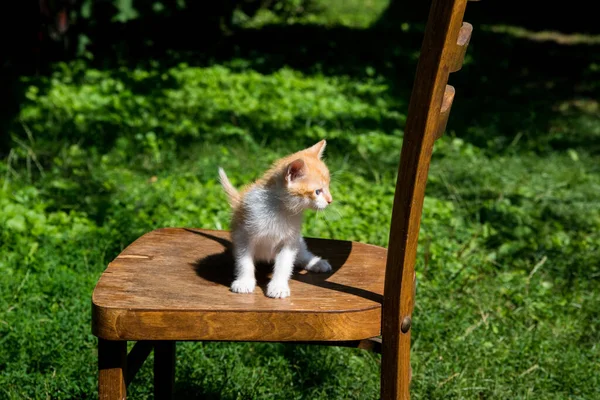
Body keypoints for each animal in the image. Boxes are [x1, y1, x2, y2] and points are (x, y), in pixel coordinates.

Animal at [218, 139, 336, 298]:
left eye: (328, 187)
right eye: (318, 191)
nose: (330, 200)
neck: (281, 210)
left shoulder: (290, 241)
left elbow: (284, 264)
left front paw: (278, 286)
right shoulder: (242, 234)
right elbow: (244, 261)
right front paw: (244, 282)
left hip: (298, 241)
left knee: (301, 254)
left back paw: (315, 263)